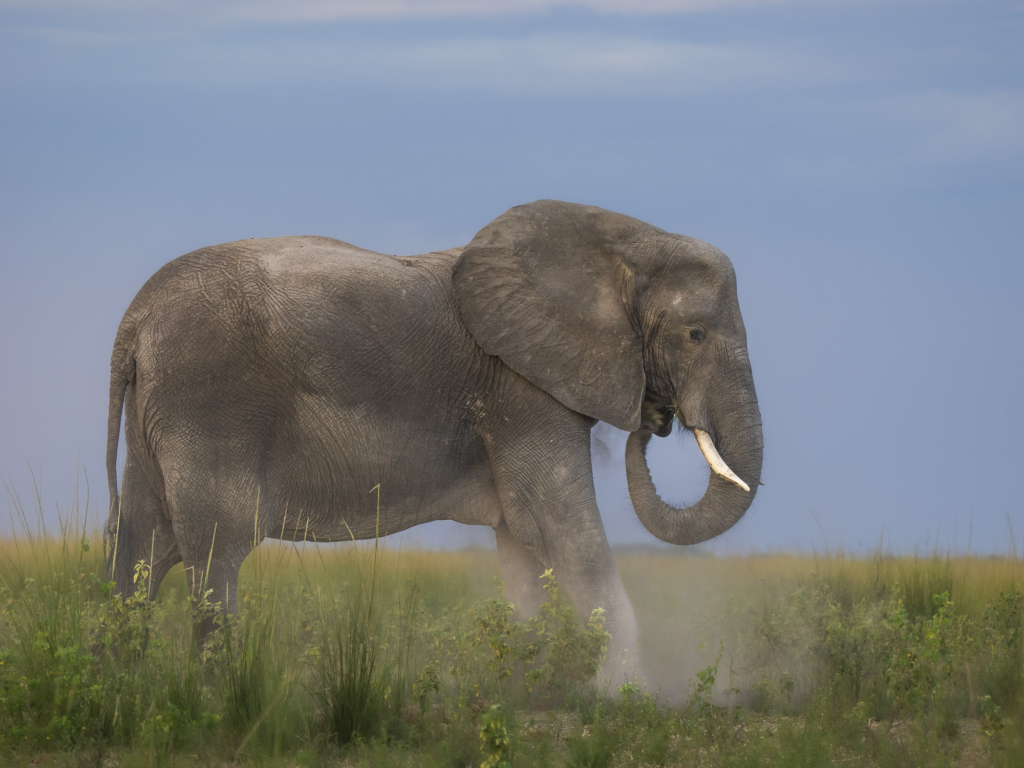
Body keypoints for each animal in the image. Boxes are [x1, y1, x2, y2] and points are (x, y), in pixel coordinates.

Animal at [105, 201, 761, 684]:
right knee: (215, 555)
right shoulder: (522, 392)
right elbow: (565, 531)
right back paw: (219, 701)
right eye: (696, 334)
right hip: (208, 402)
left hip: (158, 417)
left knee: (141, 552)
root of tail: (135, 319)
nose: (657, 416)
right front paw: (626, 701)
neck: (625, 239)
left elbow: (524, 544)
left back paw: (122, 694)